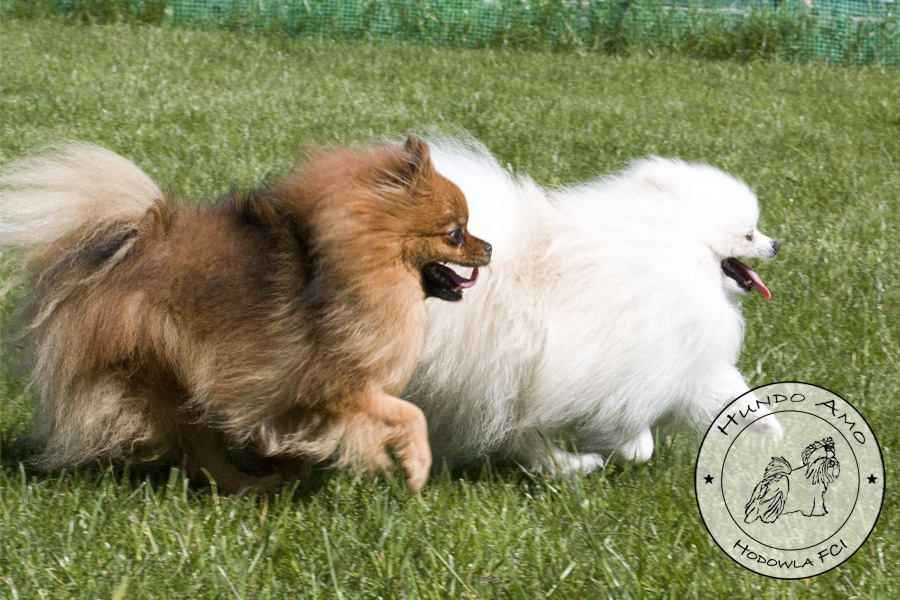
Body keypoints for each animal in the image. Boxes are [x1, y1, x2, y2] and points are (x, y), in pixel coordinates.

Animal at [0, 135, 491, 493]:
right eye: (455, 233)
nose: (487, 246)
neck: (358, 262)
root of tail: (128, 245)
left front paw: (291, 465)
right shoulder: (335, 383)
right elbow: (411, 415)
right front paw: (416, 467)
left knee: (199, 450)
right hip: (169, 370)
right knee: (198, 448)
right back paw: (247, 485)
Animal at [404, 136, 781, 474]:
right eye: (749, 234)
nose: (776, 244)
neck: (679, 249)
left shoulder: (685, 361)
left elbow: (729, 391)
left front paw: (770, 425)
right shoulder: (626, 369)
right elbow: (635, 435)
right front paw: (629, 451)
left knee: (523, 438)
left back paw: (572, 467)